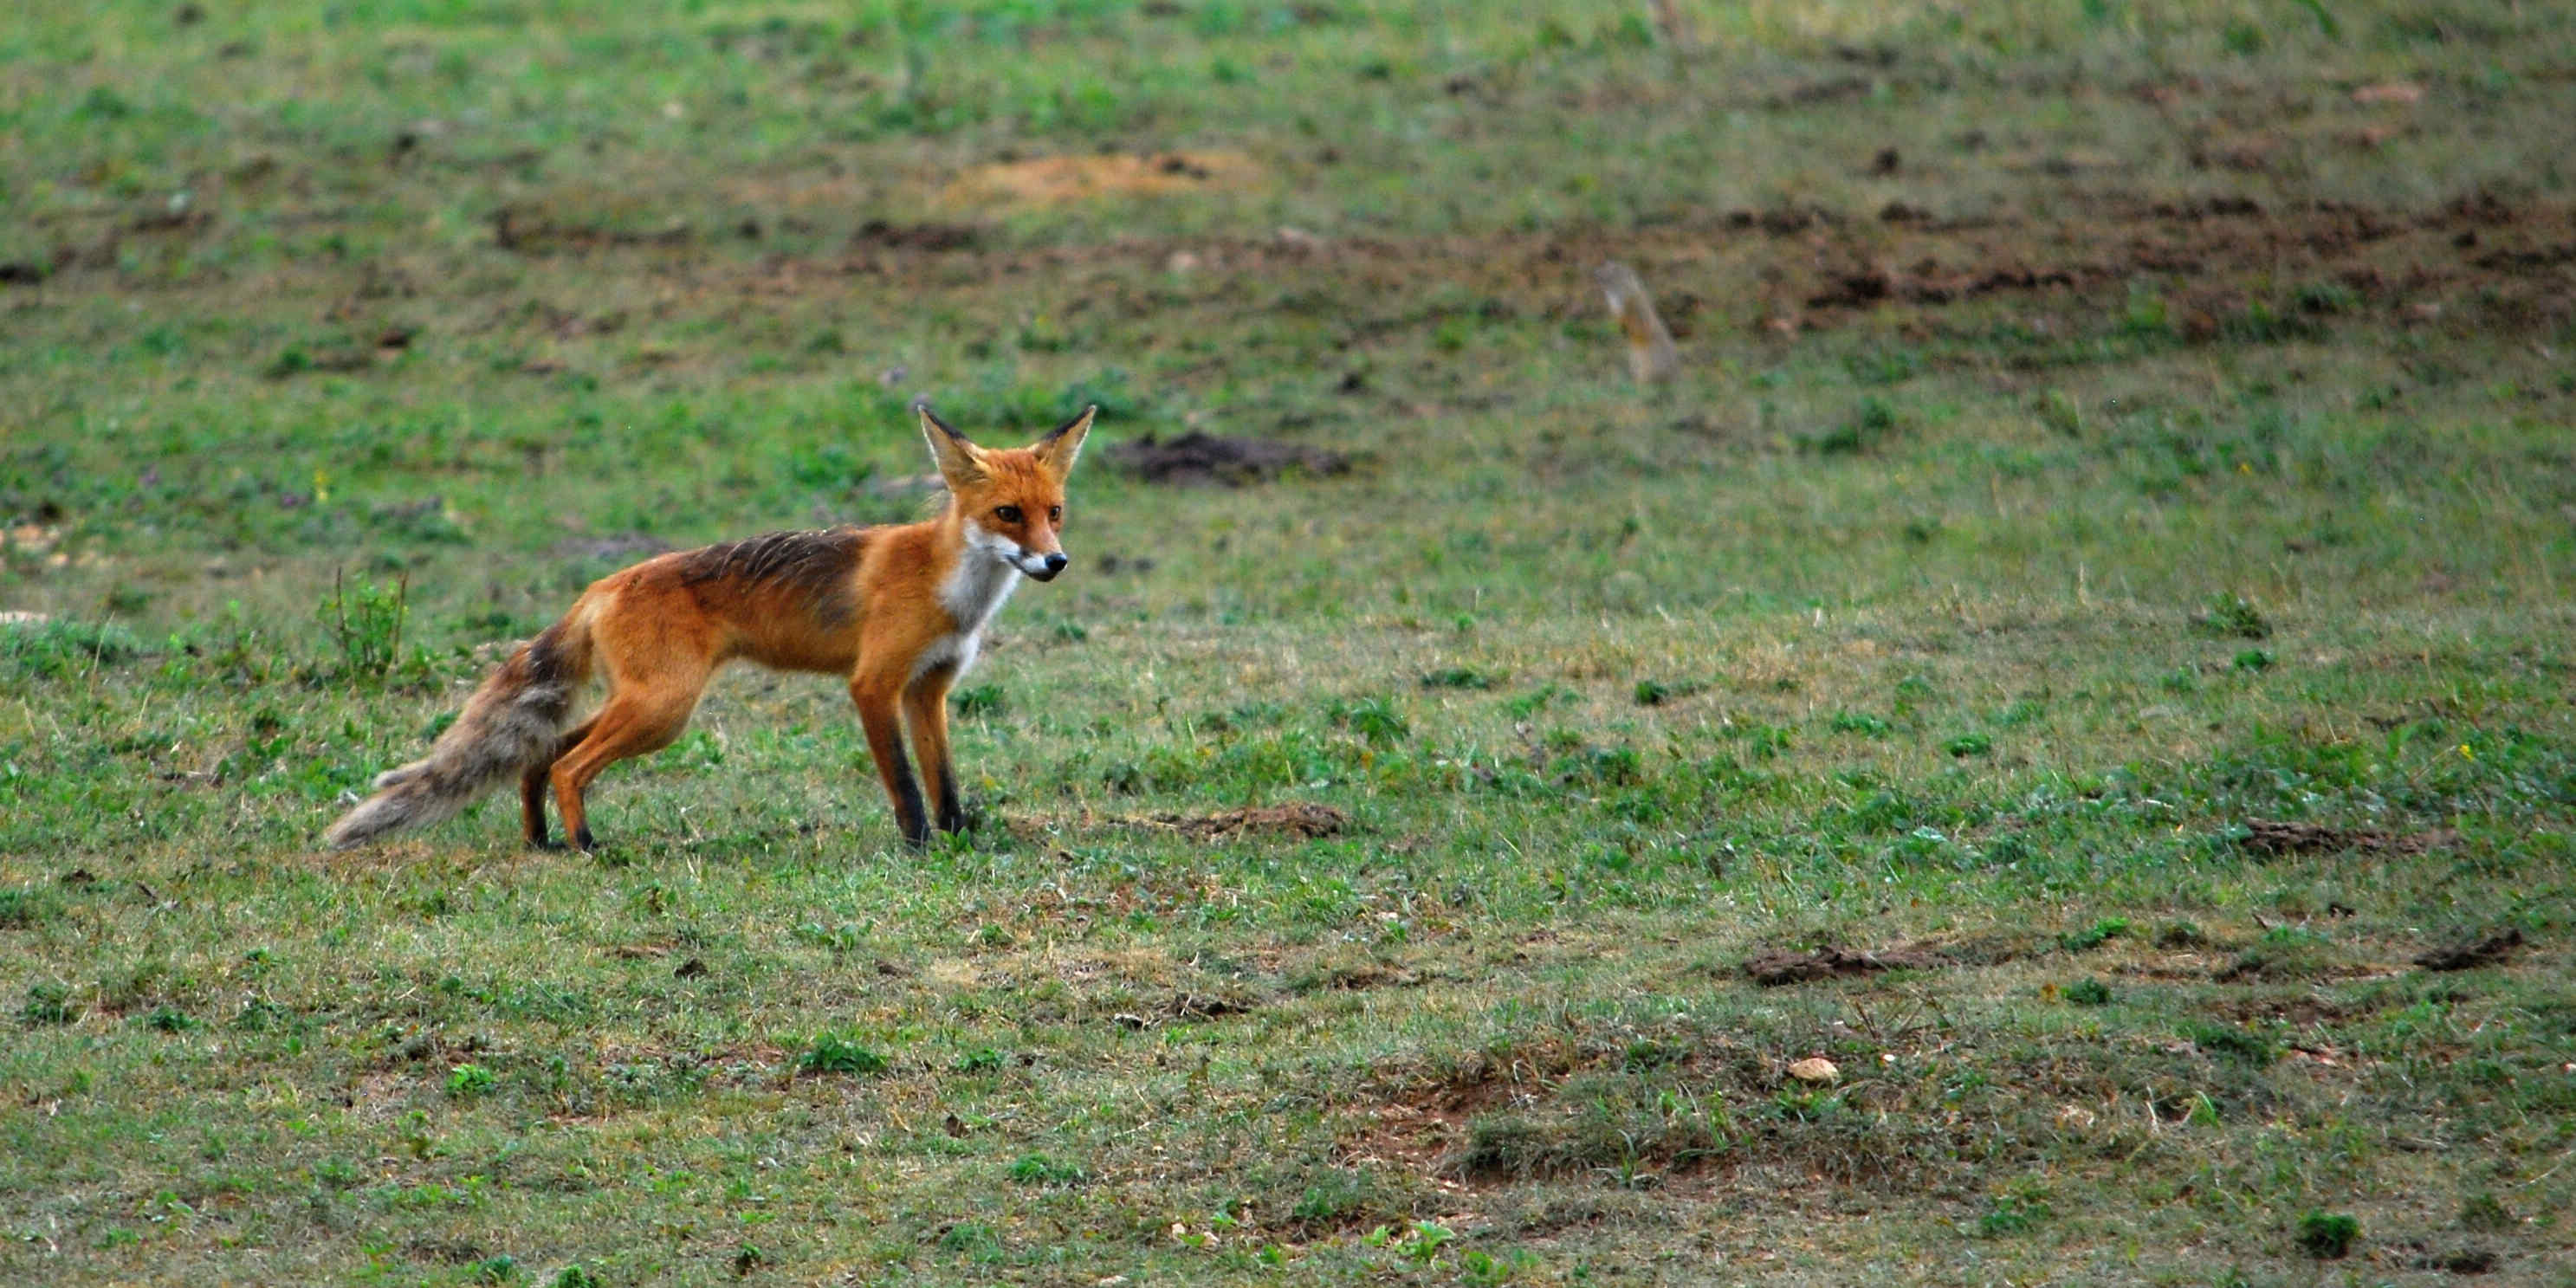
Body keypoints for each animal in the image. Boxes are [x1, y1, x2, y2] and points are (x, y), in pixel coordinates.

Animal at [319, 406, 1087, 850]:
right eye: (1007, 514)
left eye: (1054, 512)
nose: (1056, 561)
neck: (949, 587)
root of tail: (599, 586)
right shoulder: (873, 685)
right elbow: (903, 780)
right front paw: (920, 846)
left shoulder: (929, 688)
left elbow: (944, 777)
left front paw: (959, 841)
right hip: (665, 708)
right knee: (568, 762)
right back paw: (586, 843)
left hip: (645, 705)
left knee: (541, 752)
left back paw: (540, 838)